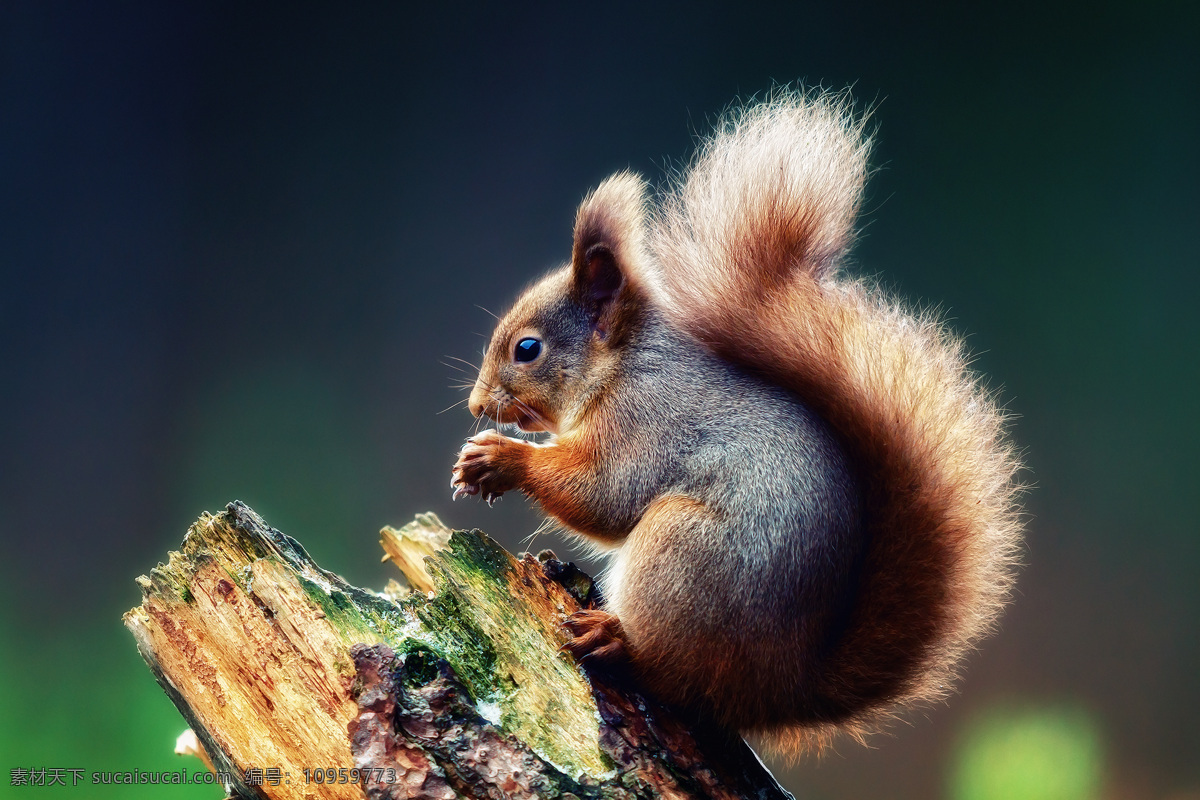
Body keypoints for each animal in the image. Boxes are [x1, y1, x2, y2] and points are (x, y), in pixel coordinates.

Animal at [451, 90, 1022, 753]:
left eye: (528, 349)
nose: (476, 405)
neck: (623, 365)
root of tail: (781, 691)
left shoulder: (647, 419)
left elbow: (606, 493)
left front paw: (499, 458)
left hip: (682, 552)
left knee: (674, 675)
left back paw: (614, 641)